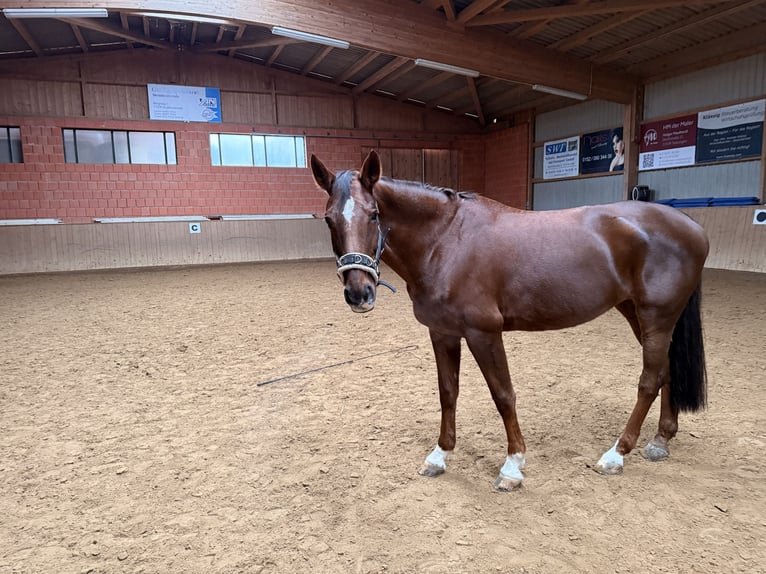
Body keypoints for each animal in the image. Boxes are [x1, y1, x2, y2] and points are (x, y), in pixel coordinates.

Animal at [310, 150, 709, 491]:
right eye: (329, 219)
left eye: (374, 215)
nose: (359, 293)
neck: (446, 241)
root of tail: (690, 224)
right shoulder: (442, 332)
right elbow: (448, 391)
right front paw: (440, 455)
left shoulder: (484, 333)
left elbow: (503, 394)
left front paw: (512, 467)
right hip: (635, 312)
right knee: (667, 371)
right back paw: (660, 441)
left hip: (657, 316)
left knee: (650, 380)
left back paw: (617, 454)